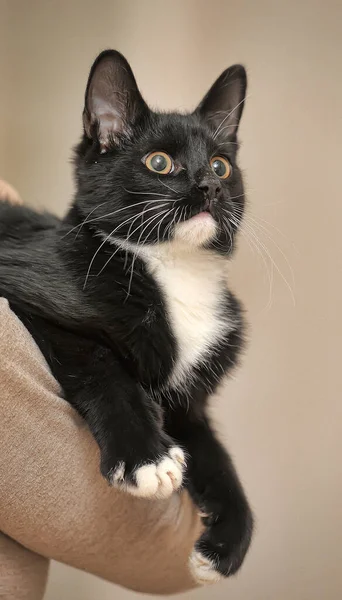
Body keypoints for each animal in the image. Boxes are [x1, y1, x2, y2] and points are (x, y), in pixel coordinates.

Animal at [0, 50, 254, 580]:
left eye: (221, 165)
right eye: (159, 162)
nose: (209, 187)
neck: (175, 268)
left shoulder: (187, 406)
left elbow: (216, 455)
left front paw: (229, 538)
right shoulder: (23, 294)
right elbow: (101, 363)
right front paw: (146, 457)